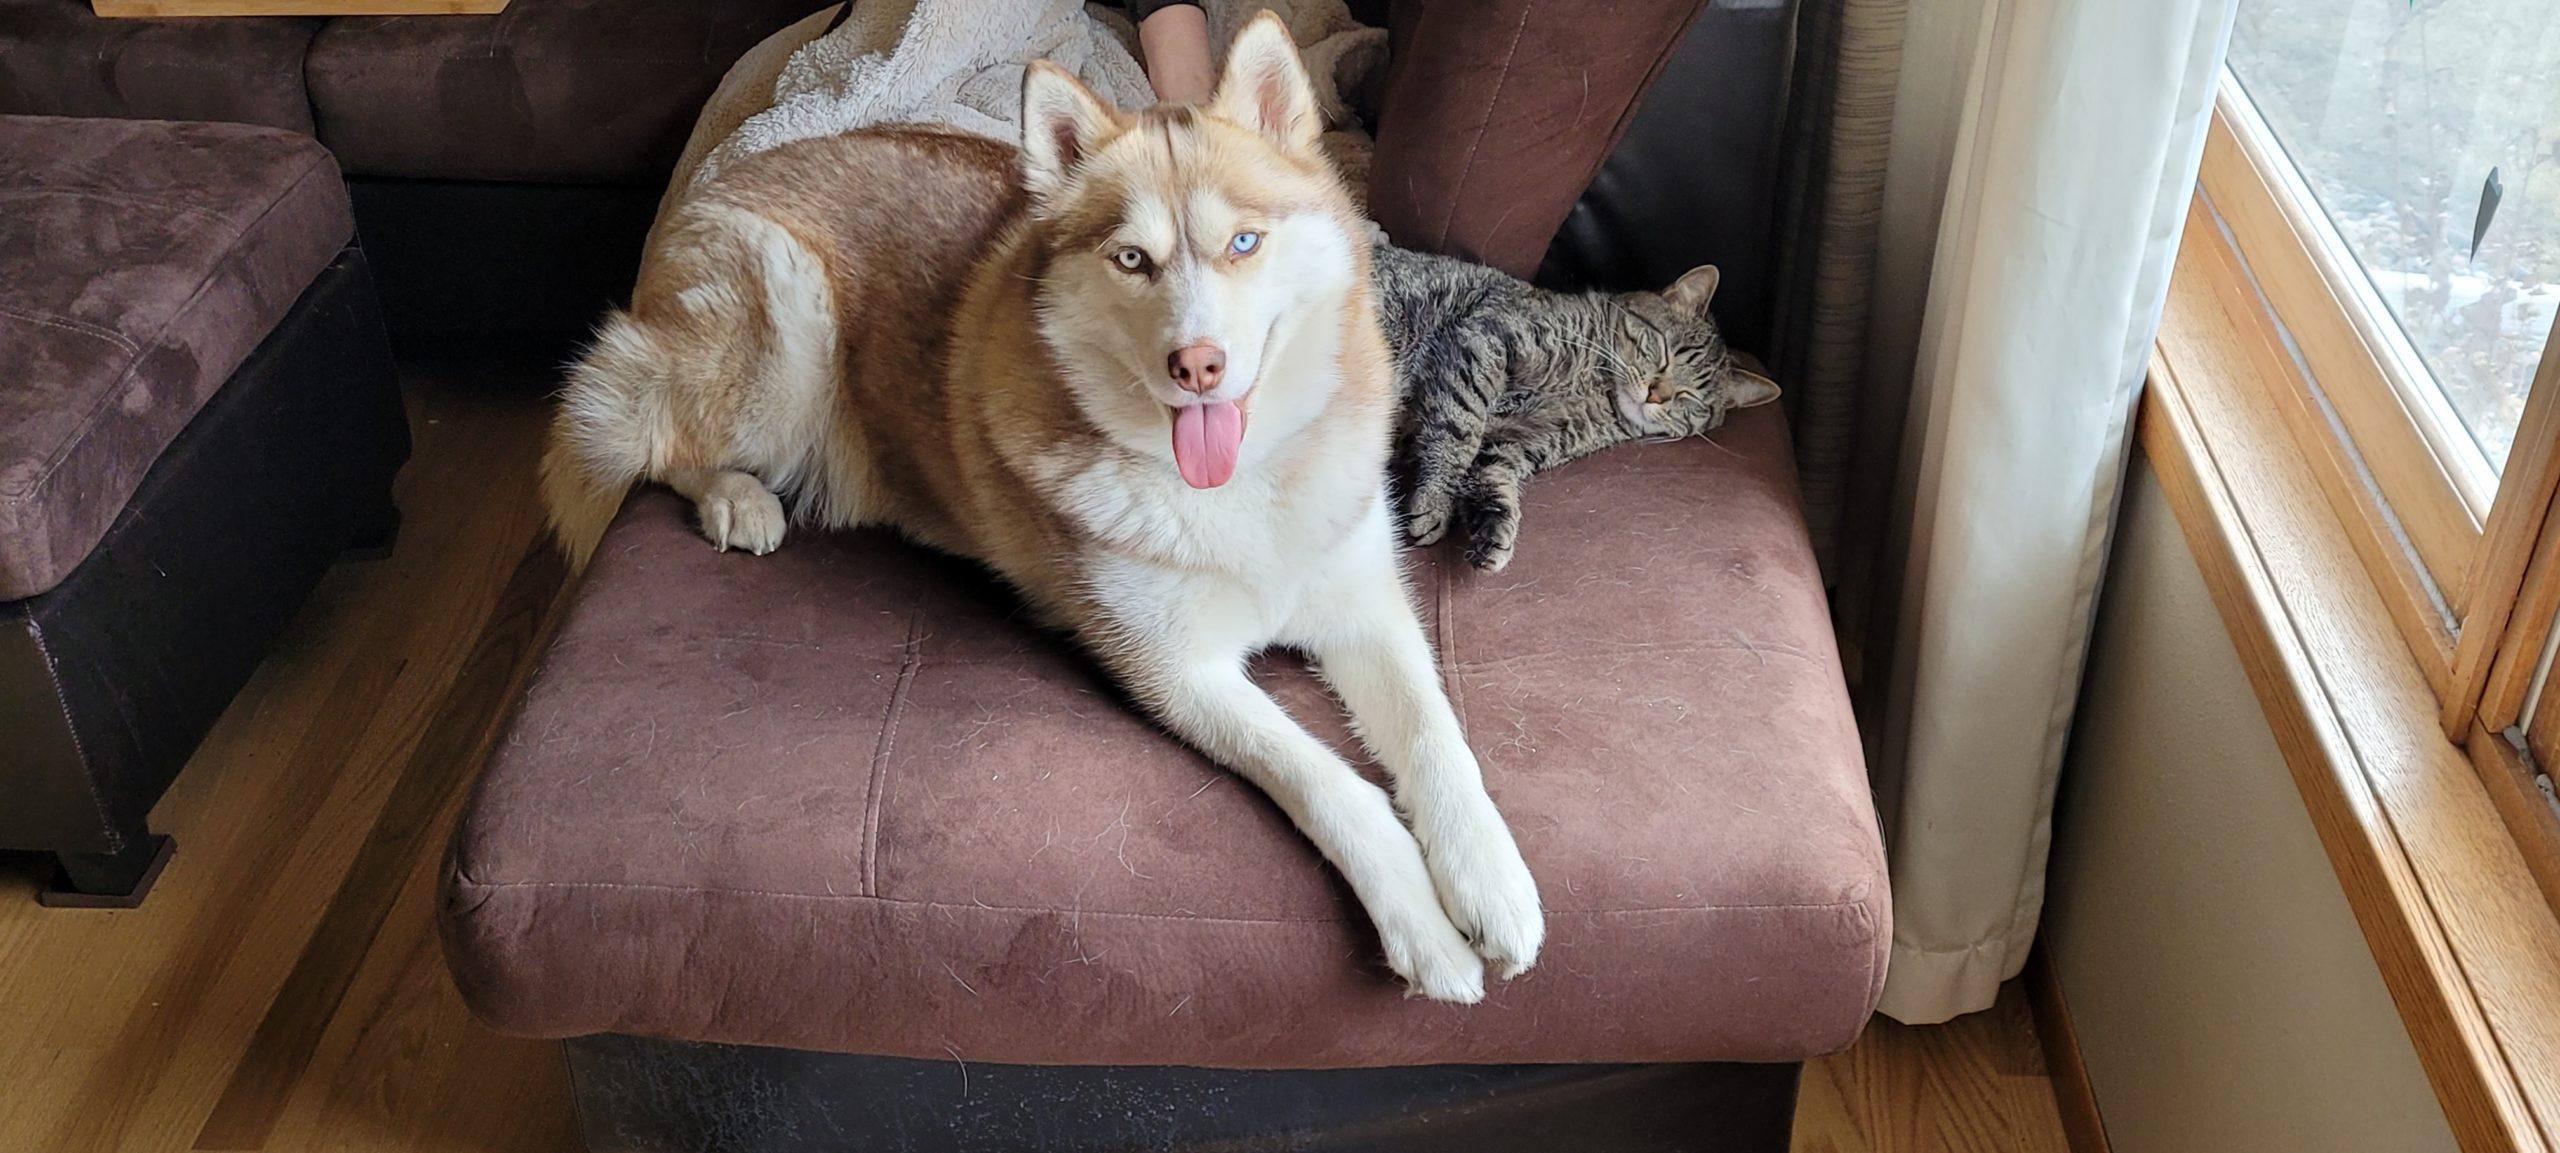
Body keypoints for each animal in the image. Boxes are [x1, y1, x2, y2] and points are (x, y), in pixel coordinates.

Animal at [545, 13, 1536, 999]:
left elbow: (1436, 730)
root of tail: (714, 178)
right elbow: (1330, 780)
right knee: (629, 426)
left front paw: (1489, 875)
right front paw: (1422, 922)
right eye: (1132, 258)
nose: (1197, 365)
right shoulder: (1174, 670)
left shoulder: (1364, 603)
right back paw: (733, 496)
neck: (1242, 489)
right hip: (785, 338)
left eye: (1245, 243)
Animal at [1382, 242, 1781, 571]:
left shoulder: (1524, 441)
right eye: (1666, 352)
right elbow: (1459, 430)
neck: (1597, 387)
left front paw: (1495, 527)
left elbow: (1493, 477)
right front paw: (1437, 498)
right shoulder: (1485, 340)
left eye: (1691, 397)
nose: (1655, 394)